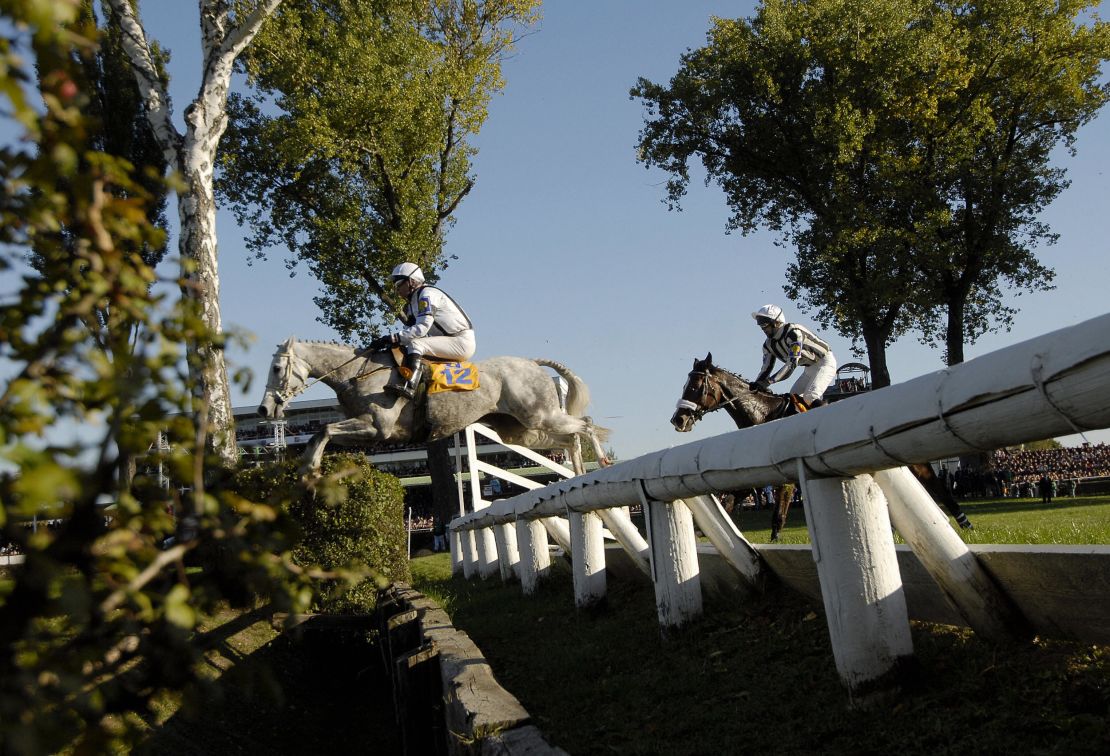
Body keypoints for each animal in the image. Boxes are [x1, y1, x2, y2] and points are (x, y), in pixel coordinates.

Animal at [256, 335, 612, 468]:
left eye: (276, 369)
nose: (264, 409)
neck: (358, 372)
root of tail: (532, 364)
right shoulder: (367, 432)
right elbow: (322, 432)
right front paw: (307, 467)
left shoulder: (377, 428)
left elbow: (324, 430)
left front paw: (310, 468)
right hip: (521, 431)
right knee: (569, 439)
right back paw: (578, 470)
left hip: (541, 416)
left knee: (585, 425)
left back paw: (602, 460)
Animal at [666, 350, 972, 539]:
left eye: (695, 386)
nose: (677, 419)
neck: (765, 416)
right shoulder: (754, 475)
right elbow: (736, 501)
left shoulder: (782, 475)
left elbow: (773, 512)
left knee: (935, 482)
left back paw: (963, 522)